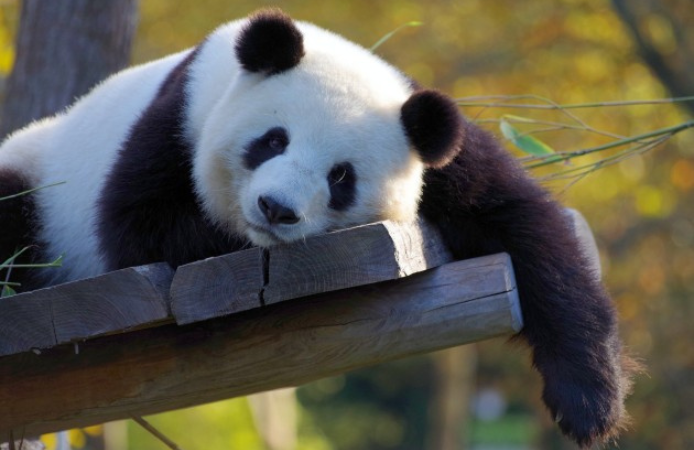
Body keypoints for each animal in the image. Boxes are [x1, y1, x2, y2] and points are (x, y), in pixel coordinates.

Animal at [0, 8, 634, 448]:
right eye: (272, 140)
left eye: (341, 177)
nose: (276, 209)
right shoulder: (178, 116)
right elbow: (139, 224)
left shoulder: (436, 149)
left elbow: (525, 225)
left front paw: (590, 404)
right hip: (39, 179)